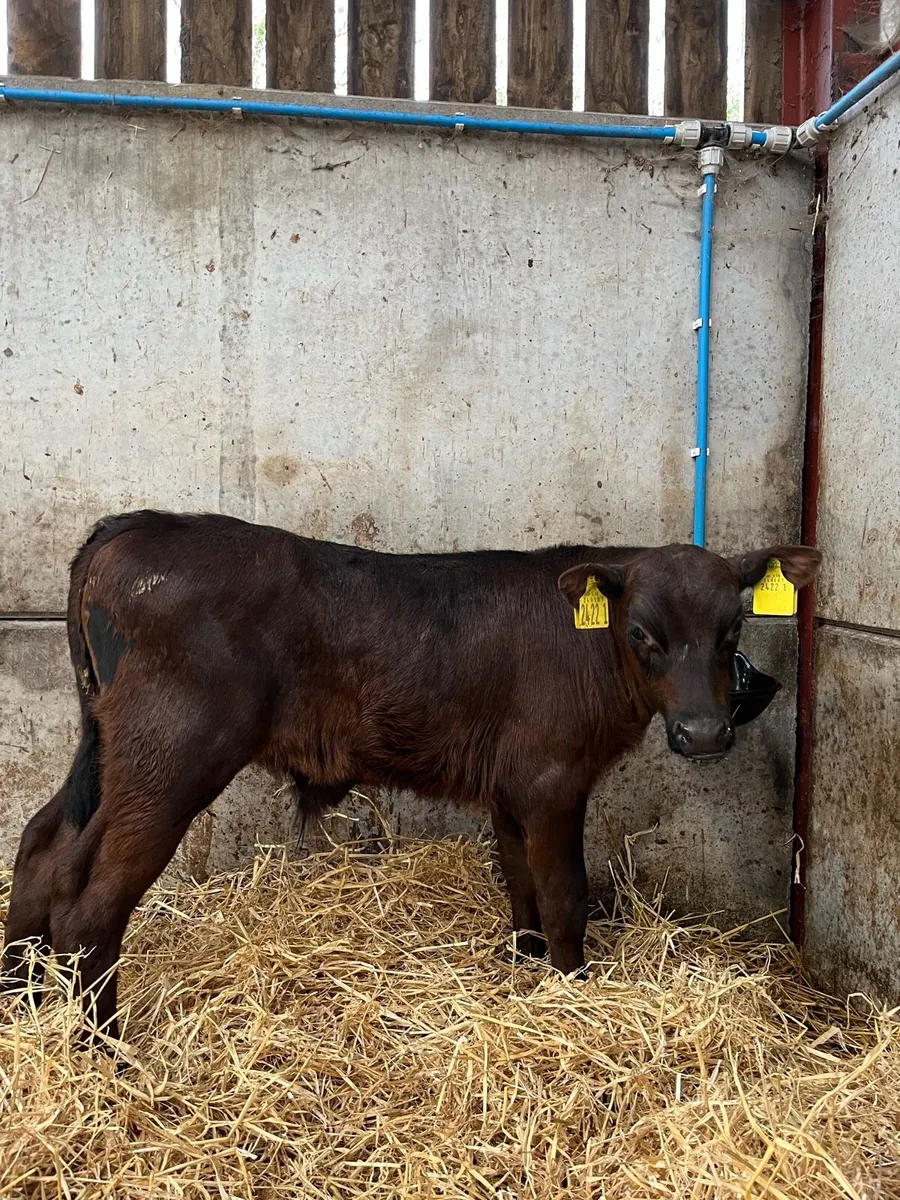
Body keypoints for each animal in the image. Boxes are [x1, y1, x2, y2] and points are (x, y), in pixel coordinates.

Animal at [1, 510, 821, 1043]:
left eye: (735, 627)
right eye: (644, 633)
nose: (705, 733)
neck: (588, 642)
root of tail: (134, 525)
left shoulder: (511, 789)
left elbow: (520, 886)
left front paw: (525, 977)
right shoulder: (553, 781)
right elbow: (564, 896)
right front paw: (573, 998)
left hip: (111, 748)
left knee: (42, 845)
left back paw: (20, 1003)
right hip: (172, 753)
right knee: (92, 900)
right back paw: (104, 1053)